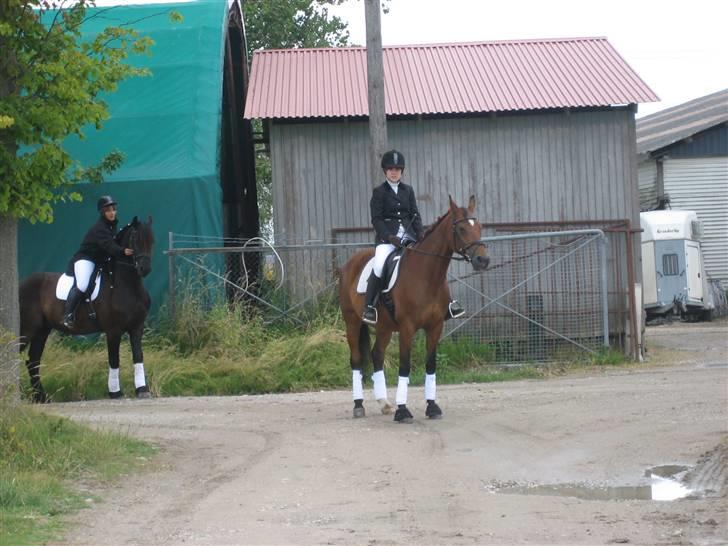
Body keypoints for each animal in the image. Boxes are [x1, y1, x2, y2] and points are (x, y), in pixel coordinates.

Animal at [19, 216, 155, 400]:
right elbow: (114, 359)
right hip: (27, 329)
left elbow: (138, 356)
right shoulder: (113, 330)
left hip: (41, 331)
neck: (127, 285)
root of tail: (20, 284)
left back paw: (41, 398)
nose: (144, 269)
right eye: (134, 239)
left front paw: (142, 389)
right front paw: (115, 392)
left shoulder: (136, 328)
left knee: (33, 361)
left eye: (151, 240)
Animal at [336, 196, 490, 420]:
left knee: (377, 355)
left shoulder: (435, 327)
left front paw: (432, 407)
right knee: (356, 359)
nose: (483, 260)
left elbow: (430, 365)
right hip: (352, 321)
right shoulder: (407, 328)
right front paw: (403, 410)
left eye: (479, 227)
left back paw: (384, 403)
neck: (426, 276)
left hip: (384, 327)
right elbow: (405, 365)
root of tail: (351, 262)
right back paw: (359, 405)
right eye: (461, 228)